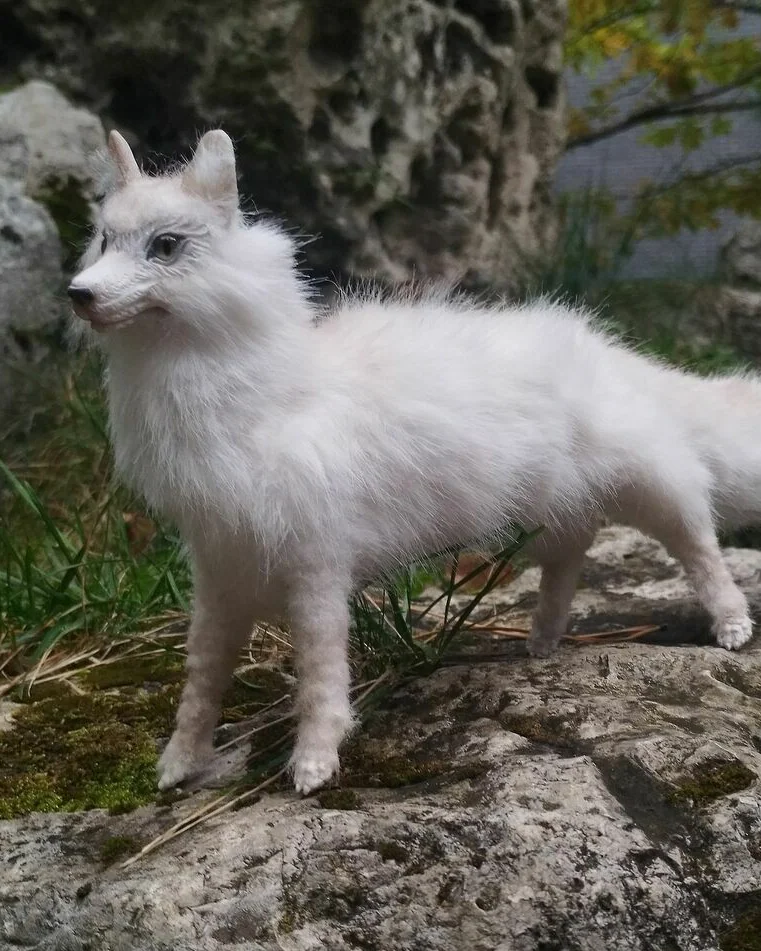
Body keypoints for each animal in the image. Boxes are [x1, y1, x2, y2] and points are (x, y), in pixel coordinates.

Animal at [68, 129, 758, 795]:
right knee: (572, 556)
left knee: (700, 547)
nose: (79, 294)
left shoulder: (316, 569)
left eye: (165, 246)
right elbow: (202, 681)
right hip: (555, 511)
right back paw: (542, 642)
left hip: (653, 488)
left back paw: (730, 627)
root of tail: (609, 352)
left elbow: (320, 675)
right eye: (103, 240)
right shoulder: (221, 570)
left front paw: (314, 765)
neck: (268, 397)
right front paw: (179, 764)